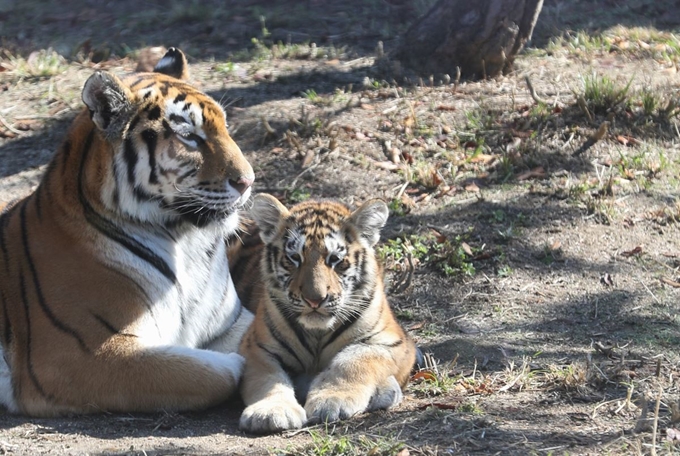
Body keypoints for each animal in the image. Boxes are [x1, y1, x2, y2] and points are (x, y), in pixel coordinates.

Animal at [0, 48, 254, 416]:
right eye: (189, 136)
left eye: (226, 126)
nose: (248, 181)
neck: (185, 244)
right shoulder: (79, 354)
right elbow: (215, 372)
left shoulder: (230, 322)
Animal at [236, 194, 414, 432]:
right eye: (294, 258)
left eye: (335, 259)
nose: (315, 299)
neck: (317, 333)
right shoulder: (255, 346)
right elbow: (268, 377)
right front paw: (271, 412)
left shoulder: (394, 343)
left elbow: (354, 359)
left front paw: (333, 399)